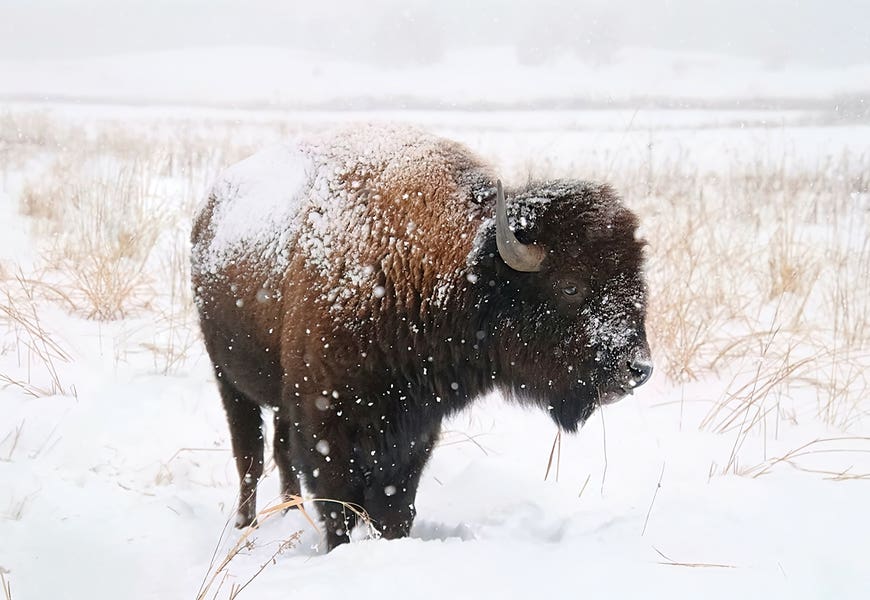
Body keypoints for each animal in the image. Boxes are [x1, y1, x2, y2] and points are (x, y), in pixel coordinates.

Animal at [190, 124, 652, 550]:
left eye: (636, 282)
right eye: (571, 285)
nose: (639, 368)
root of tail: (208, 211)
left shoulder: (414, 431)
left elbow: (396, 507)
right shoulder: (325, 424)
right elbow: (338, 509)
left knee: (280, 452)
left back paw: (289, 512)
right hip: (229, 381)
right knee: (250, 457)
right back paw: (247, 526)